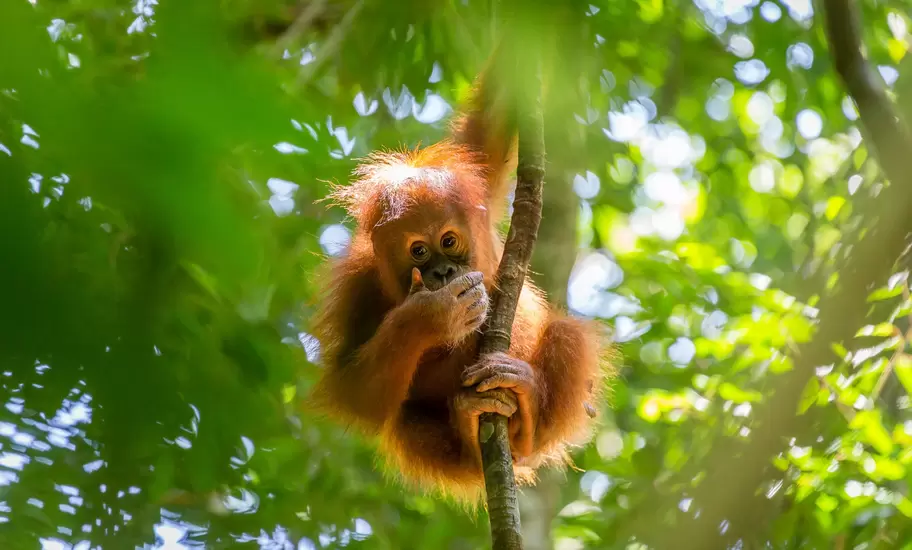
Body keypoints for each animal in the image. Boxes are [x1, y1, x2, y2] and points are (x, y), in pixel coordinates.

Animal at [309, 56, 611, 501]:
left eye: (449, 241)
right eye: (419, 251)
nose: (443, 272)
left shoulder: (477, 183)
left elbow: (496, 113)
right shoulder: (356, 286)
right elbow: (353, 393)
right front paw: (431, 316)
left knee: (566, 336)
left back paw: (526, 409)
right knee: (404, 421)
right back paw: (470, 431)